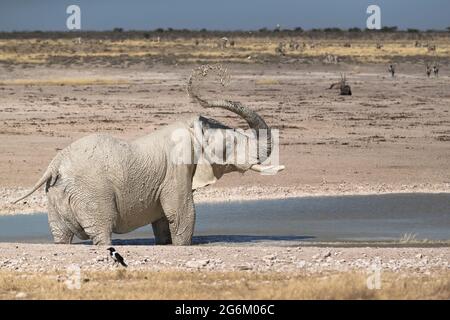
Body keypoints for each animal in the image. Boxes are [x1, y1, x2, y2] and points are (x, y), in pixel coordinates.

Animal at [13, 78, 282, 248]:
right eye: (232, 143)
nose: (196, 87)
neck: (190, 129)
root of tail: (54, 165)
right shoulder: (176, 169)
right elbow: (182, 213)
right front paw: (182, 246)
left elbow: (163, 218)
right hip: (91, 193)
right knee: (102, 231)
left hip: (56, 195)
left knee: (61, 236)